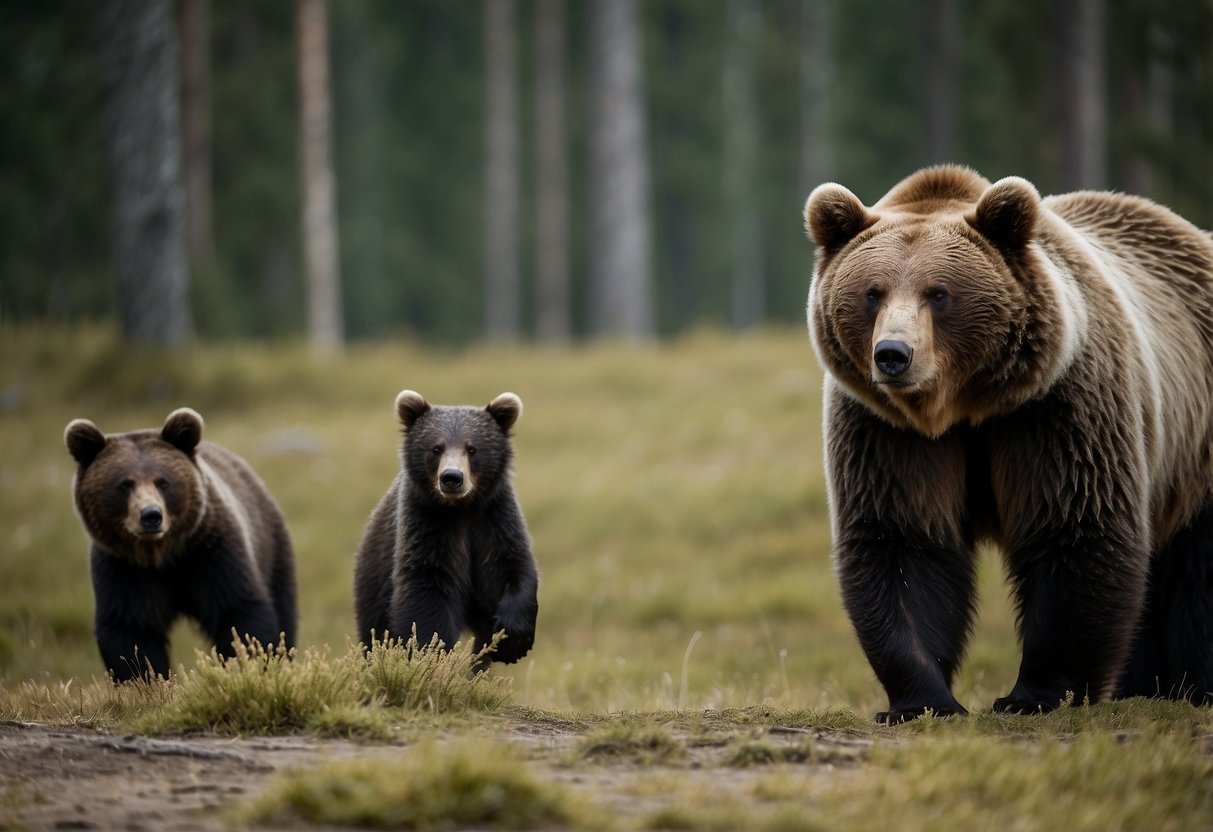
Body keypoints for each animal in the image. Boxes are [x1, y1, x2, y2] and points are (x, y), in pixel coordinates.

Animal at [810, 164, 1213, 722]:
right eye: (873, 291)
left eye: (939, 292)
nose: (893, 354)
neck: (962, 406)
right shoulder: (887, 431)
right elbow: (903, 541)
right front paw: (920, 701)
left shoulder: (1055, 407)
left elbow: (1073, 526)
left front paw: (1034, 695)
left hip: (1195, 444)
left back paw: (1190, 687)